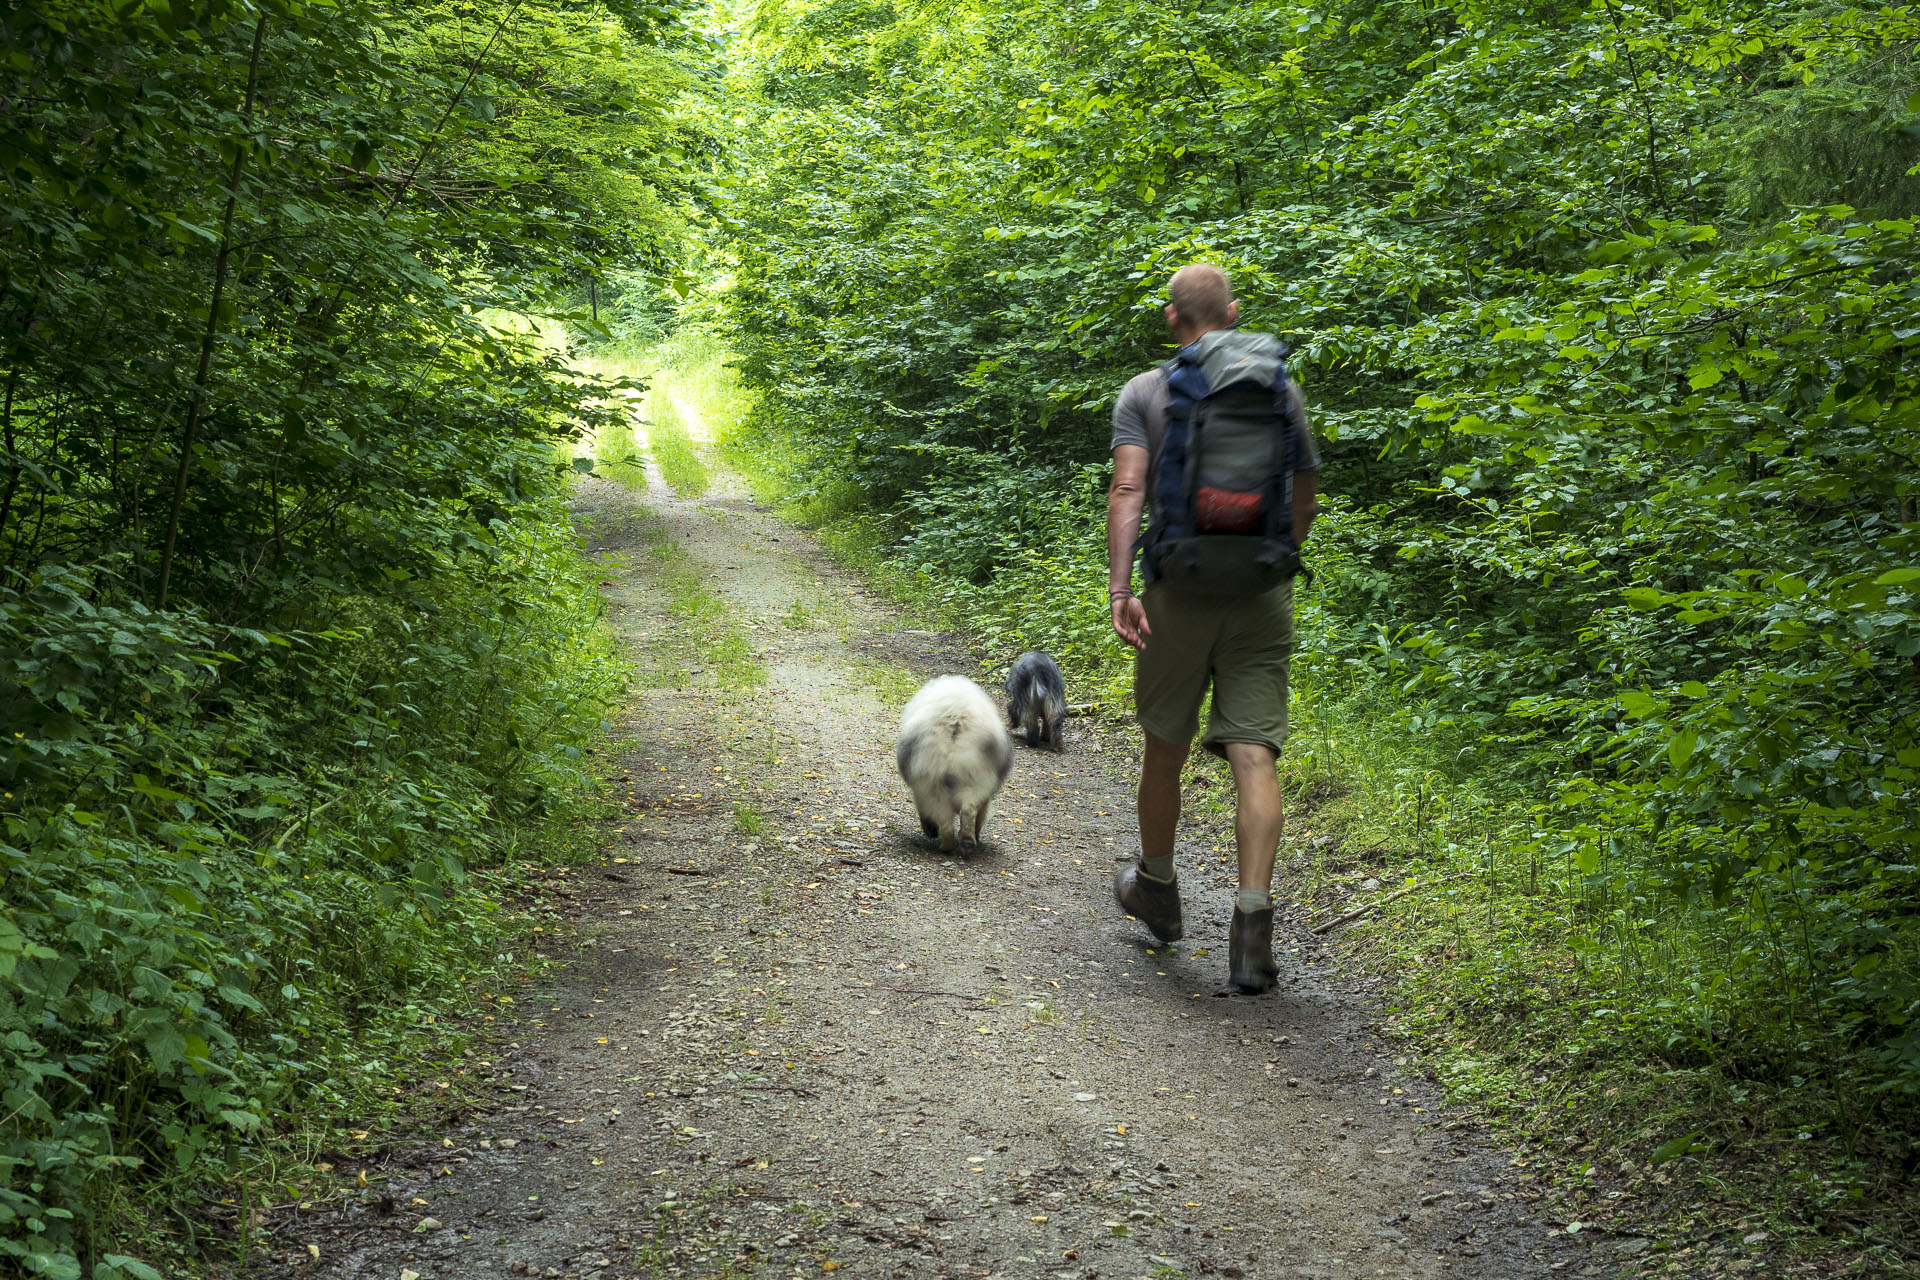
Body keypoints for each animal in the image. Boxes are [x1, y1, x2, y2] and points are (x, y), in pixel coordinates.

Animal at [898, 675, 1021, 855]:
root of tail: (955, 718)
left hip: (934, 782)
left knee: (947, 818)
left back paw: (948, 846)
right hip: (974, 778)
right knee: (968, 810)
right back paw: (965, 843)